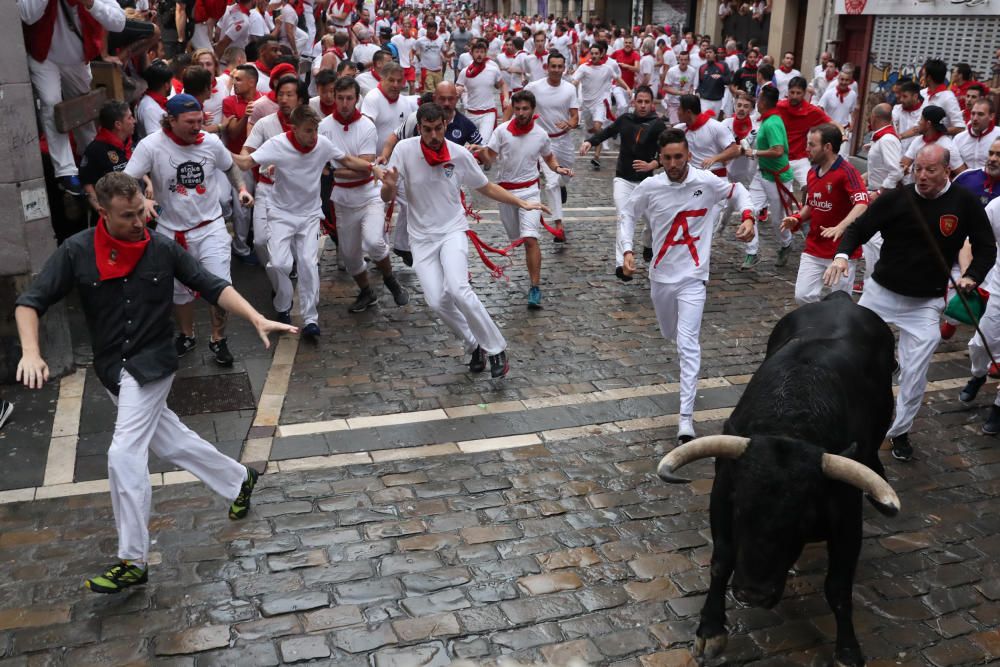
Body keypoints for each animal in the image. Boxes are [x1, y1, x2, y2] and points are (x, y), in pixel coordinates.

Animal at [660, 294, 904, 667]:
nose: (753, 594)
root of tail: (840, 299)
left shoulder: (848, 519)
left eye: (802, 519)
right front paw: (711, 630)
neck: (791, 421)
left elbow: (838, 586)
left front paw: (848, 649)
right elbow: (721, 562)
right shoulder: (721, 497)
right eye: (741, 509)